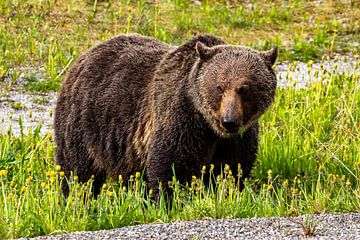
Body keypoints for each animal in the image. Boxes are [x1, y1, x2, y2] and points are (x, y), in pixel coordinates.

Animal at [54, 34, 278, 199]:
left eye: (244, 89)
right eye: (219, 87)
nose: (229, 121)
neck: (208, 125)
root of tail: (82, 58)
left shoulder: (239, 137)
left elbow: (234, 167)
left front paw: (227, 191)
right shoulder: (180, 117)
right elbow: (171, 165)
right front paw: (167, 199)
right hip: (84, 122)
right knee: (77, 169)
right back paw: (75, 198)